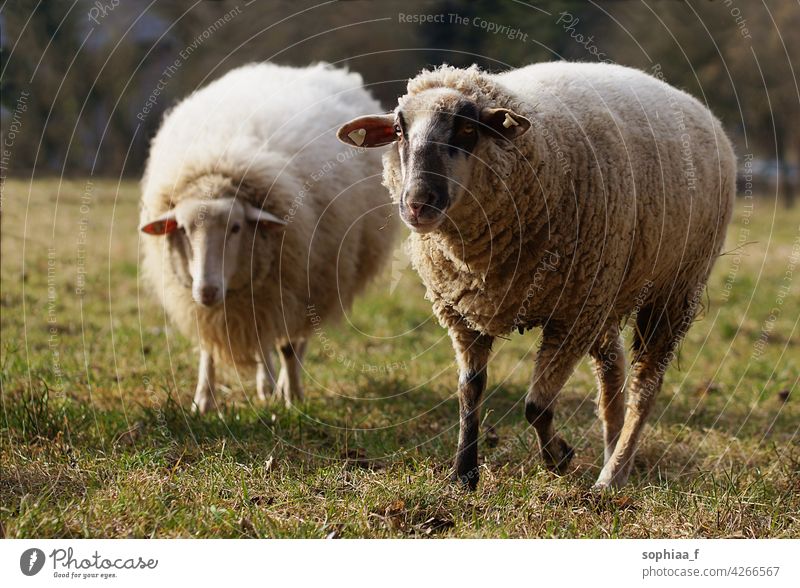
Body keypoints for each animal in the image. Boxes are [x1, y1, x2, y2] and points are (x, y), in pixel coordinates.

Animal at [338, 62, 736, 490]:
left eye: (467, 130)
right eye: (398, 130)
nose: (416, 203)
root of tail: (701, 109)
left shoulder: (571, 317)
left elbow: (536, 406)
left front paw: (558, 457)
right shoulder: (463, 314)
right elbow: (469, 392)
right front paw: (463, 473)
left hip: (672, 287)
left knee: (644, 386)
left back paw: (612, 476)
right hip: (604, 293)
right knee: (612, 373)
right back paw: (612, 455)